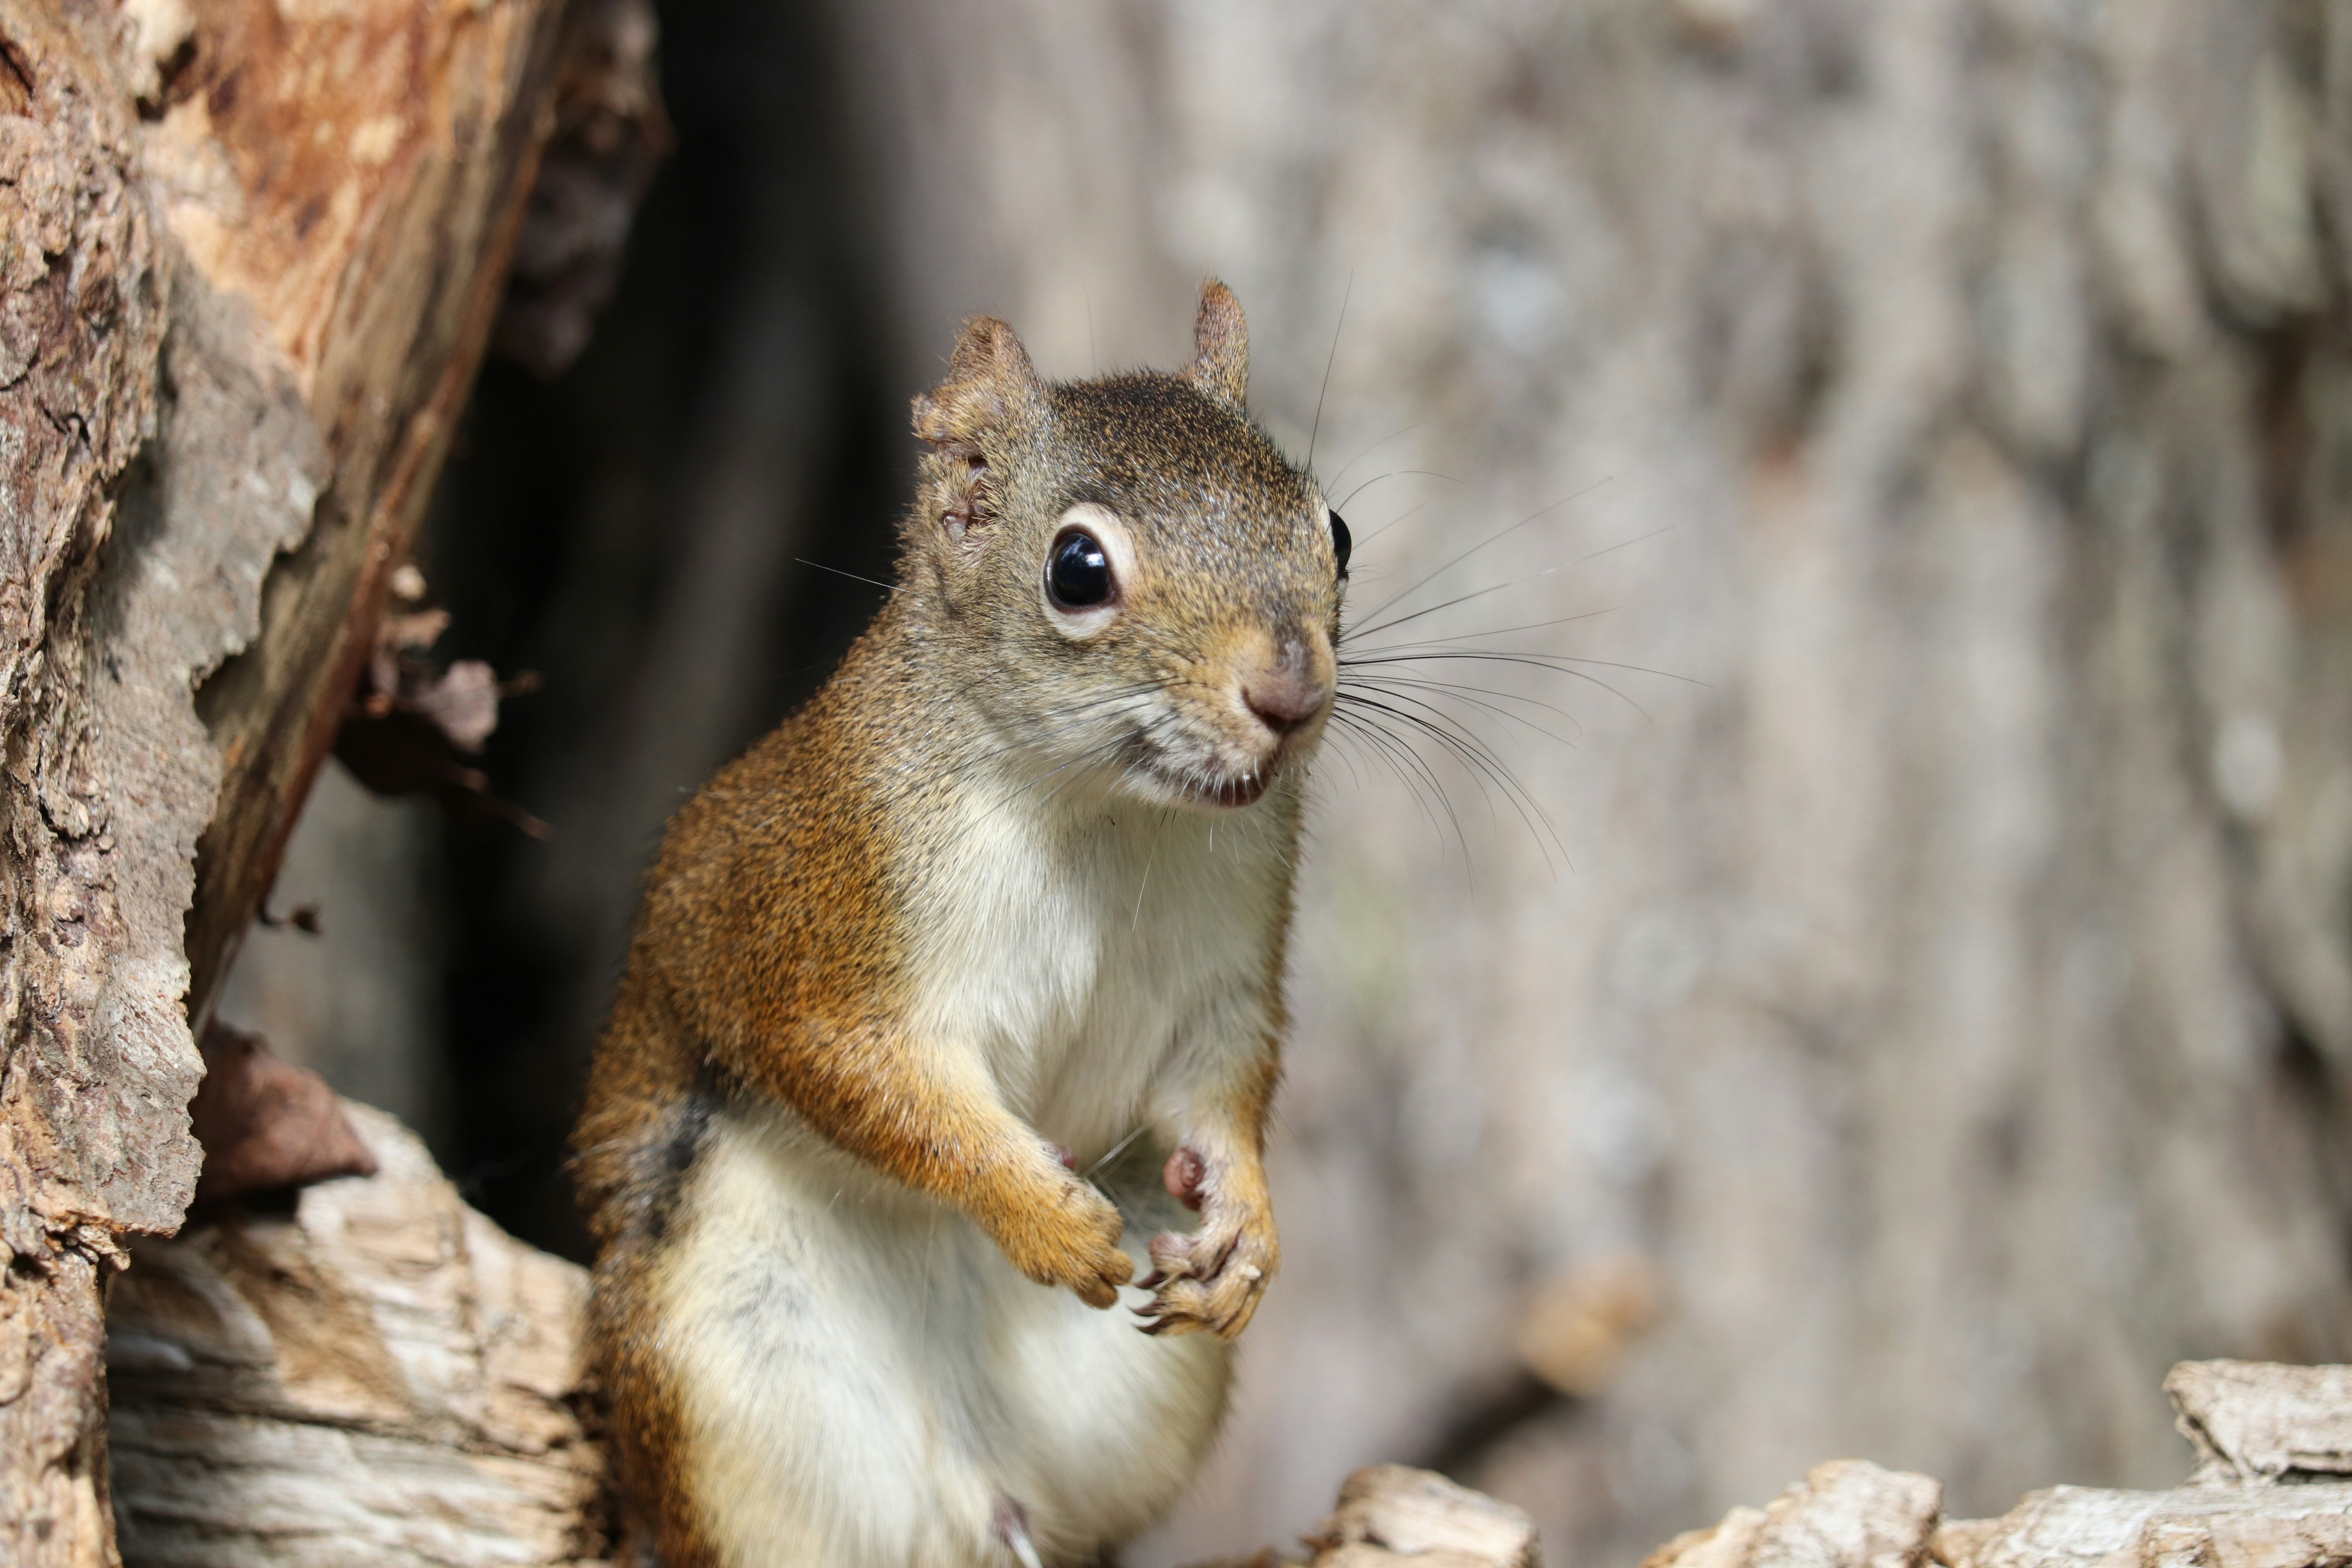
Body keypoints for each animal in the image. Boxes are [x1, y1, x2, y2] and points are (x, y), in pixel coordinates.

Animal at [572, 280, 1351, 1568]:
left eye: (1333, 531)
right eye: (1077, 569)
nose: (1290, 695)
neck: (1104, 814)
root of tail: (963, 1491)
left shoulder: (1226, 970)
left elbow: (1224, 1084)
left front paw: (1251, 1224)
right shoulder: (825, 933)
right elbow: (867, 1083)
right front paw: (1040, 1215)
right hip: (725, 1368)